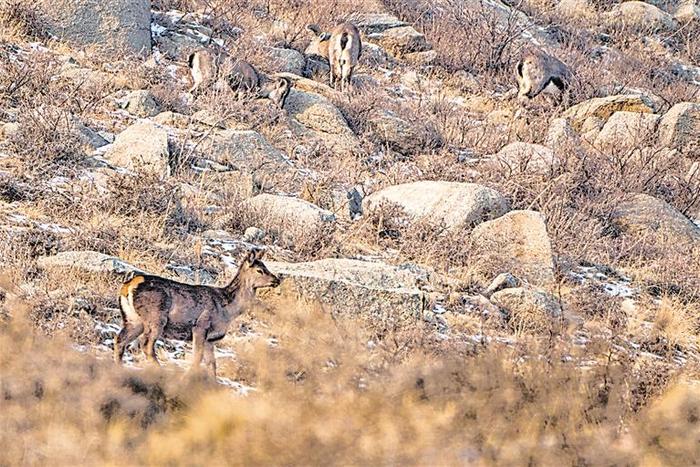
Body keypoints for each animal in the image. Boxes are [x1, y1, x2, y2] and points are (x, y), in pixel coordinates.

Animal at [113, 249, 280, 376]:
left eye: (266, 267)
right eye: (260, 270)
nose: (277, 280)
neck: (228, 309)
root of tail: (128, 286)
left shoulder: (210, 339)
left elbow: (212, 364)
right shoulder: (201, 326)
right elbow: (197, 358)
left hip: (133, 320)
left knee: (120, 339)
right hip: (155, 317)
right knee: (146, 344)